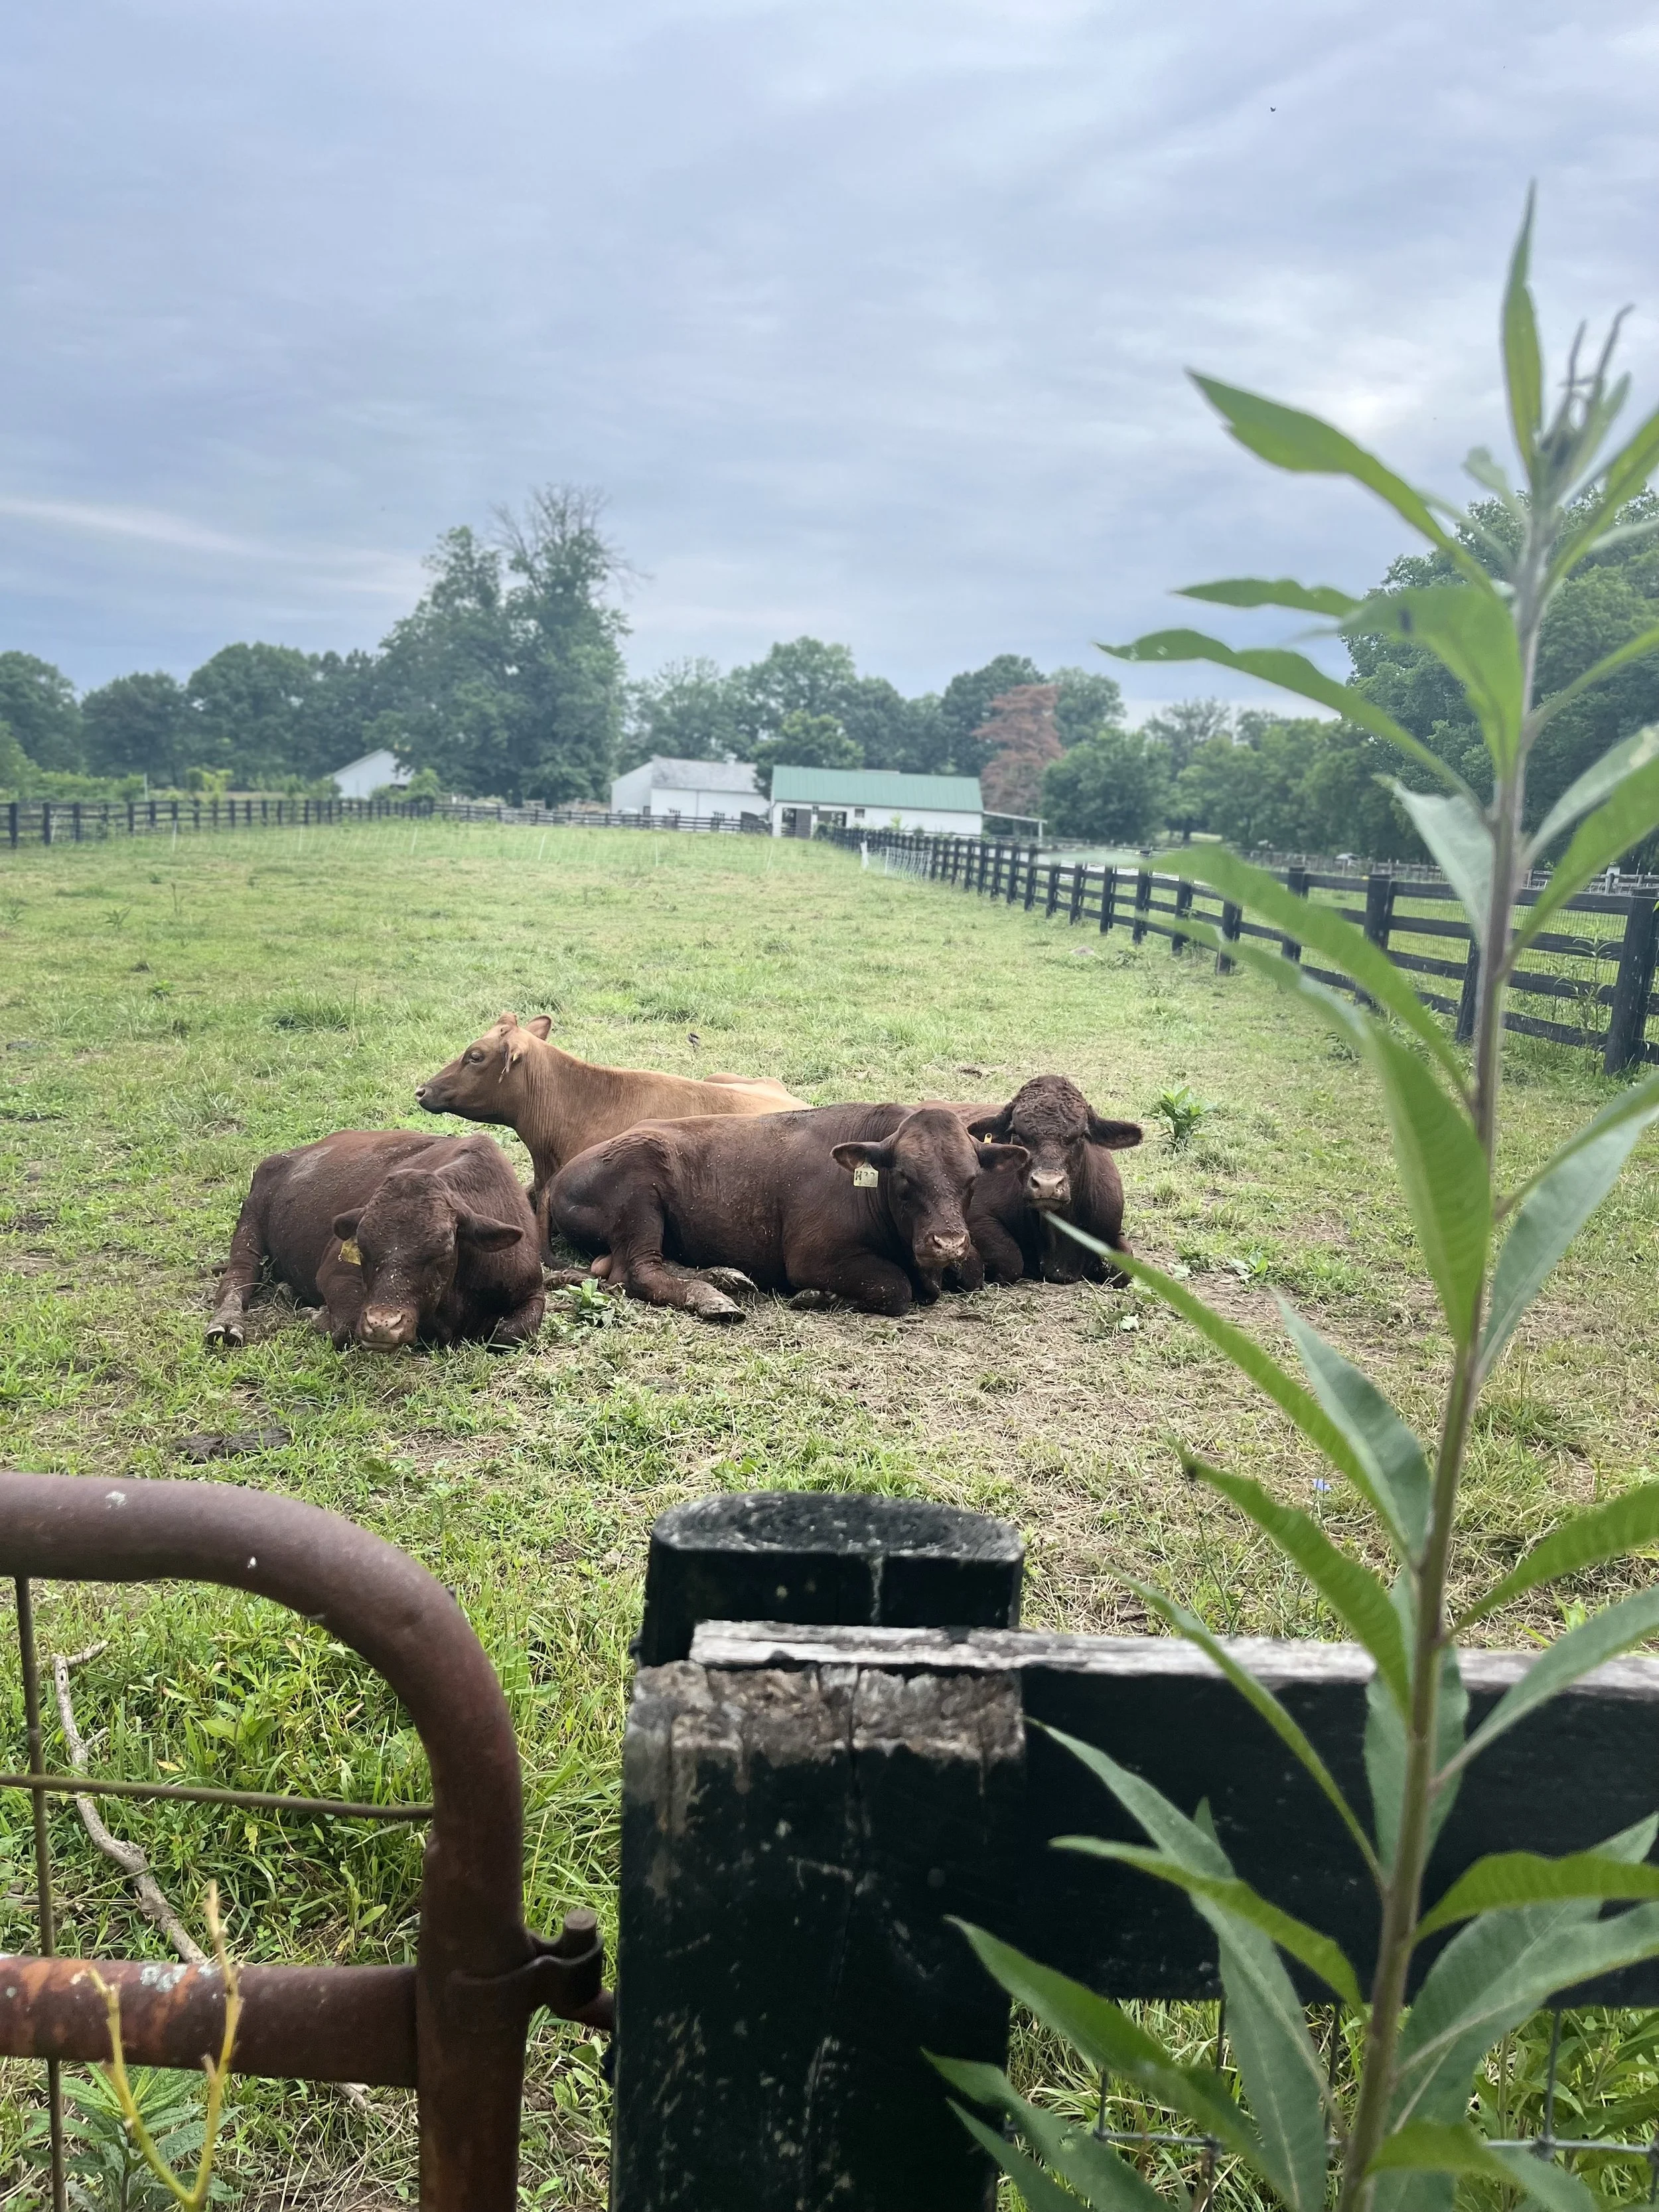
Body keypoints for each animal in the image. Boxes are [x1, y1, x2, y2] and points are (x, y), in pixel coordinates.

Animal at [205, 1130, 544, 1352]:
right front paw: (317, 1316)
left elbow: (509, 1333)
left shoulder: (532, 1291)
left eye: (443, 1250)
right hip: (251, 1218)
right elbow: (346, 1328)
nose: (383, 1325)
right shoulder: (336, 1273)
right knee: (239, 1276)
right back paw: (227, 1324)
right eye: (365, 1249)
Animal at [548, 1104, 1029, 1322]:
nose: (948, 1242)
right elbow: (894, 1288)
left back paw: (727, 1277)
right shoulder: (812, 1257)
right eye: (905, 1179)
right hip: (639, 1196)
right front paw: (819, 1297)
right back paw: (711, 1297)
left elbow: (969, 1274)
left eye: (972, 1180)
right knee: (636, 1272)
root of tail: (558, 1179)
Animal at [959, 1075, 1141, 1285]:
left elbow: (1120, 1270)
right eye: (1017, 1133)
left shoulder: (1113, 1231)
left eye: (1082, 1135)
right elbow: (1010, 1260)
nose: (1047, 1185)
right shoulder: (979, 1218)